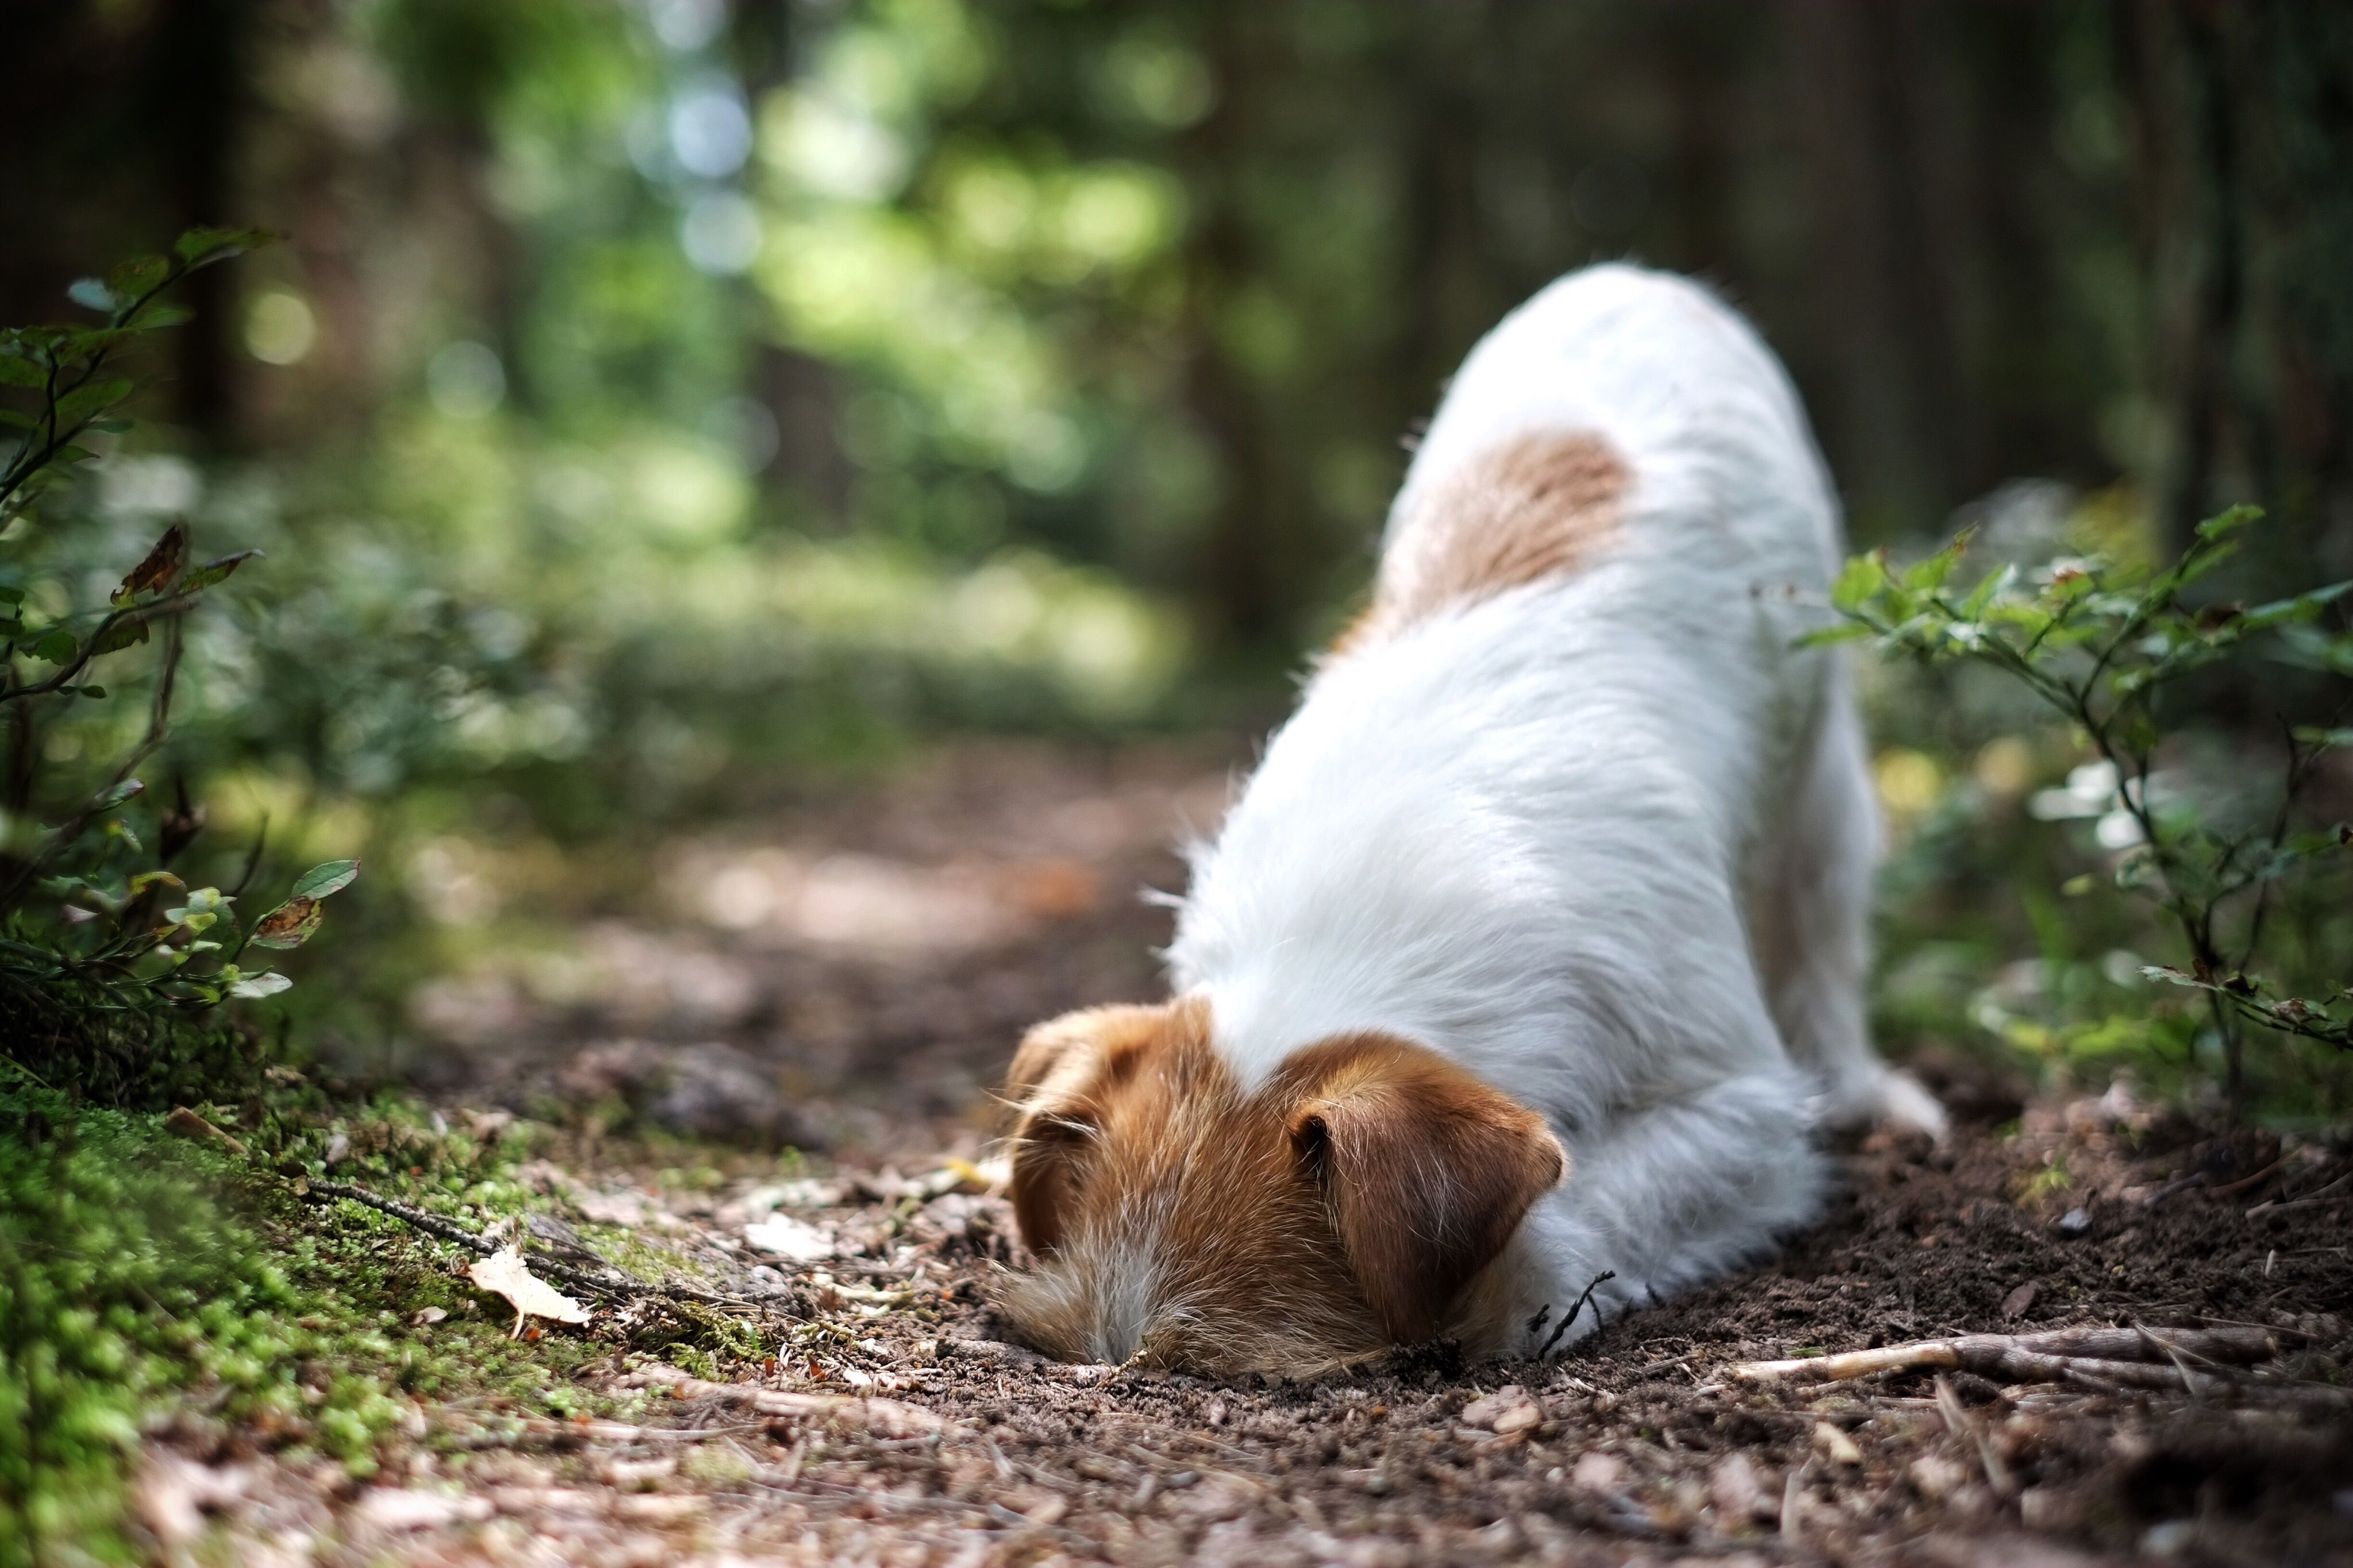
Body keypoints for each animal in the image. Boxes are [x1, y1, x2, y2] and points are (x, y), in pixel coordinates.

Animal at [1002, 261, 1939, 1373]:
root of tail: (1634, 276)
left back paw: (1866, 1087)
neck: (1353, 930)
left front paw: (1517, 1289)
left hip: (1821, 760)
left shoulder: (1743, 1111)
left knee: (1821, 918)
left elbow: (1595, 1198)